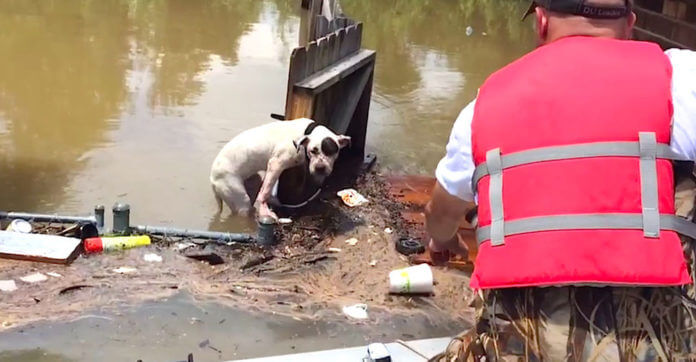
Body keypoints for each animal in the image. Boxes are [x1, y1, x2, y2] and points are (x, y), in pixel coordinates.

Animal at [209, 119, 350, 219]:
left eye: (332, 152)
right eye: (312, 151)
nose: (320, 168)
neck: (306, 133)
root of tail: (212, 179)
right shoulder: (276, 164)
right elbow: (265, 192)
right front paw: (265, 210)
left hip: (253, 182)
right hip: (240, 201)